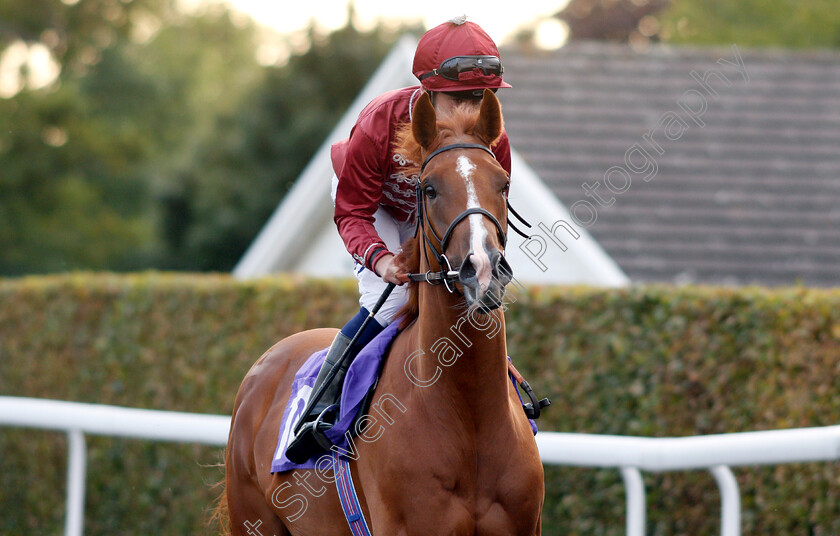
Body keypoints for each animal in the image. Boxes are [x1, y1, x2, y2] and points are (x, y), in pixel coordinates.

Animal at [220, 90, 540, 532]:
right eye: (429, 188)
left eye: (504, 184)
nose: (483, 269)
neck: (470, 416)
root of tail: (267, 360)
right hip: (251, 517)